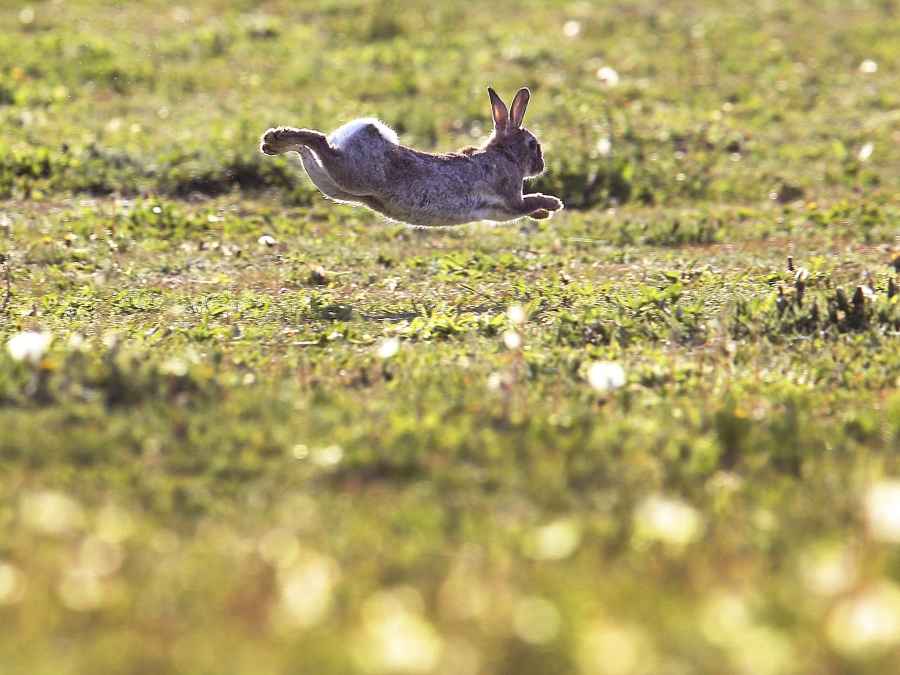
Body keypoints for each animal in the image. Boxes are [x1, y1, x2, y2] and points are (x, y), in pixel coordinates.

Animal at [256, 88, 564, 227]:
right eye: (533, 144)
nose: (541, 166)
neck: (504, 155)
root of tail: (367, 130)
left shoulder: (501, 211)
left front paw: (545, 212)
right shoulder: (510, 195)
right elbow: (527, 202)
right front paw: (552, 204)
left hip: (334, 185)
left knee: (310, 154)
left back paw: (275, 143)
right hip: (352, 175)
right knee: (319, 142)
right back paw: (276, 138)